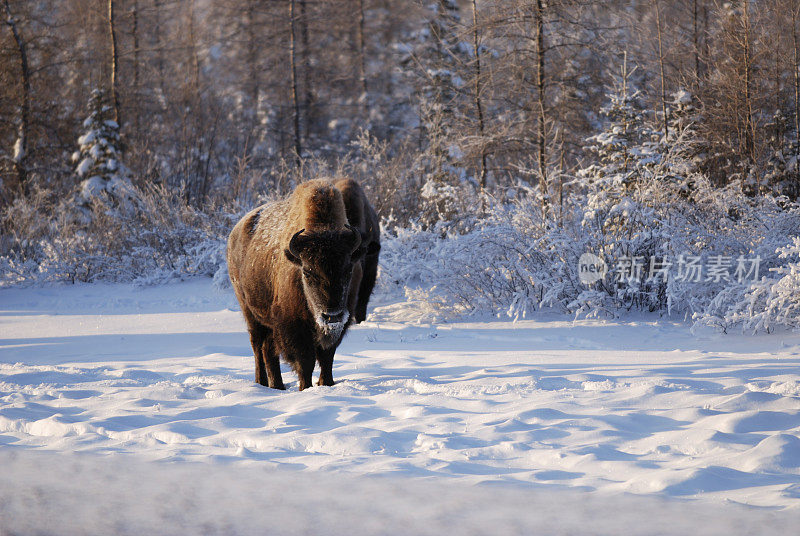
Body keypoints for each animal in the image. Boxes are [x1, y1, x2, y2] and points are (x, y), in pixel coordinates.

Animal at [227, 179, 380, 390]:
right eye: (307, 271)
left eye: (348, 269)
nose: (331, 315)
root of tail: (236, 231)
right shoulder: (294, 327)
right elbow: (305, 361)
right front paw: (305, 388)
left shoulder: (341, 322)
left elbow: (327, 357)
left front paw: (326, 383)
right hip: (249, 311)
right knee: (257, 345)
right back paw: (261, 382)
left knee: (268, 349)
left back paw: (277, 385)